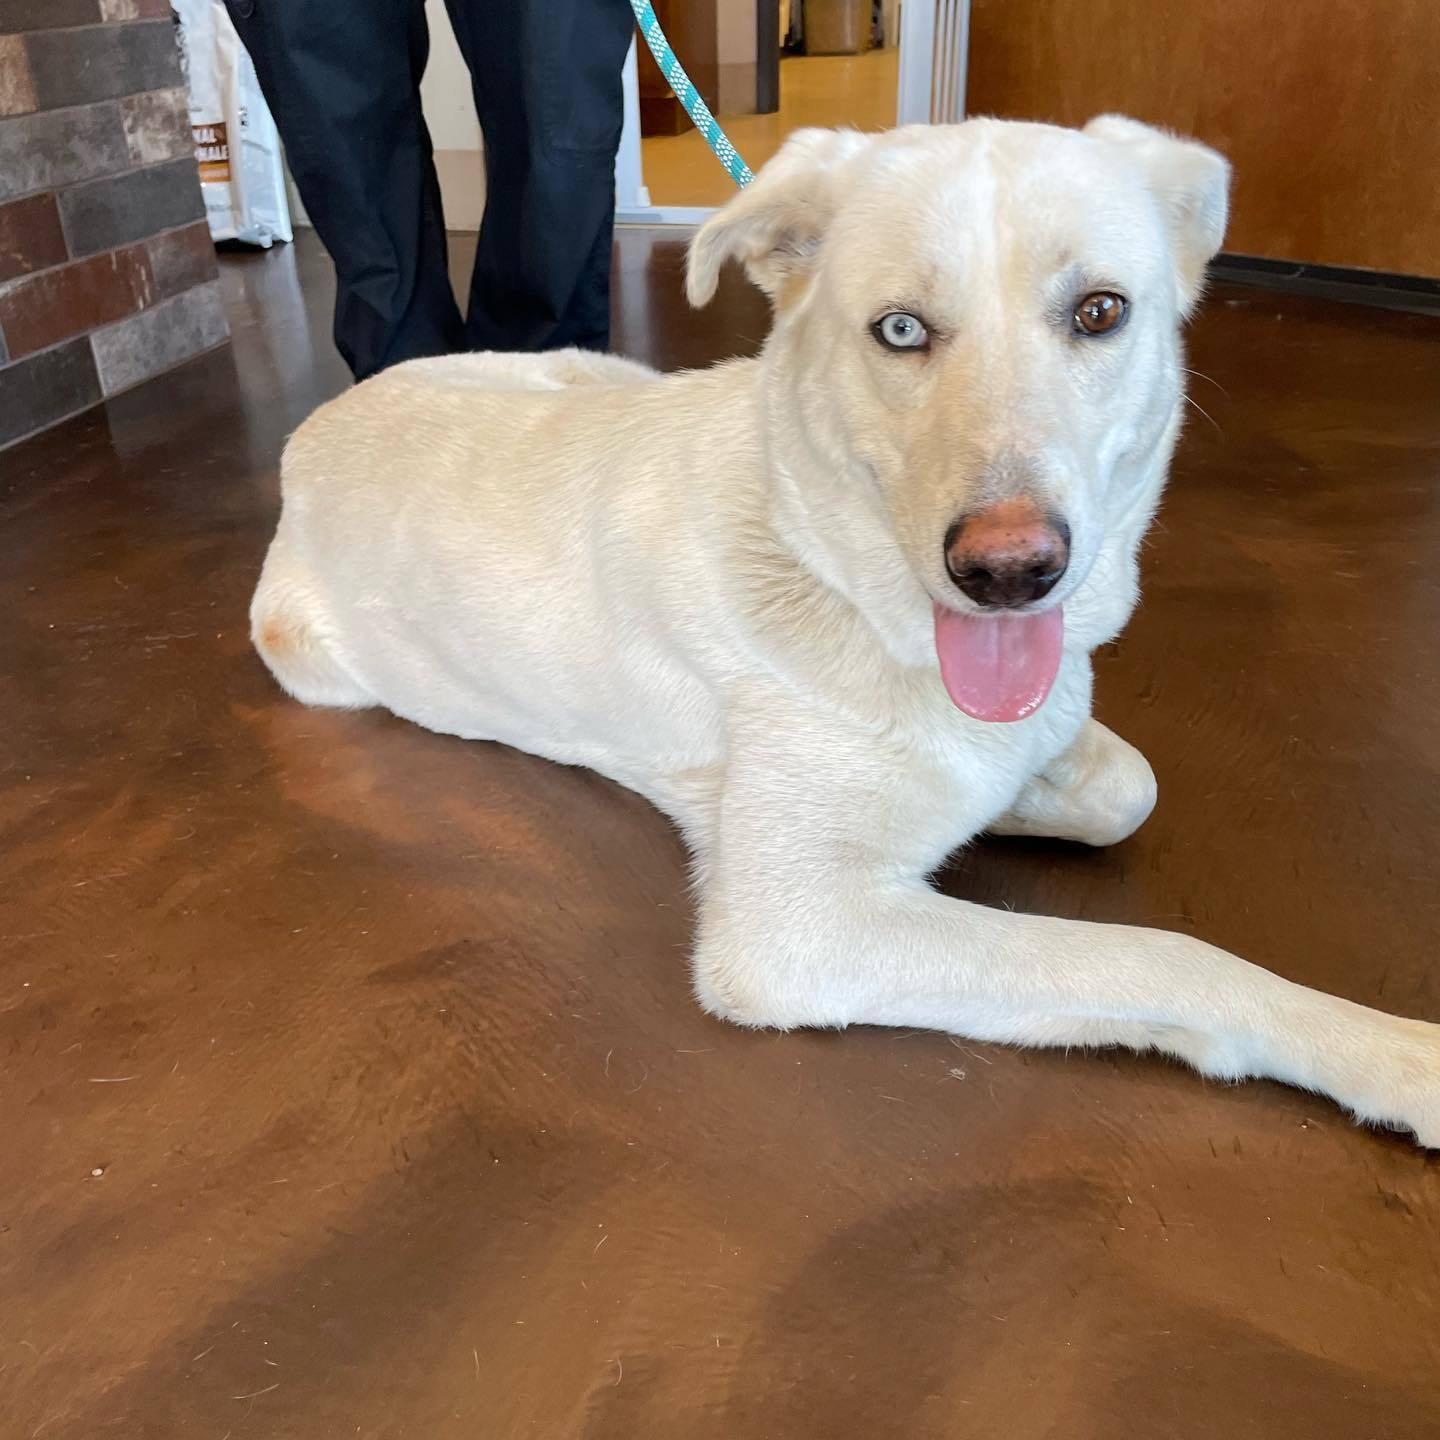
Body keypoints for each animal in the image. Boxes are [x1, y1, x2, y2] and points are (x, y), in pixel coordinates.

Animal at [250, 115, 1440, 1146]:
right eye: (900, 330)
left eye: (1100, 312)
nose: (1009, 573)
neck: (837, 575)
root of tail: (313, 424)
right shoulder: (796, 932)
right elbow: (1163, 959)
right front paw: (1393, 1054)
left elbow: (1121, 788)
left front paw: (1014, 804)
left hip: (591, 367)